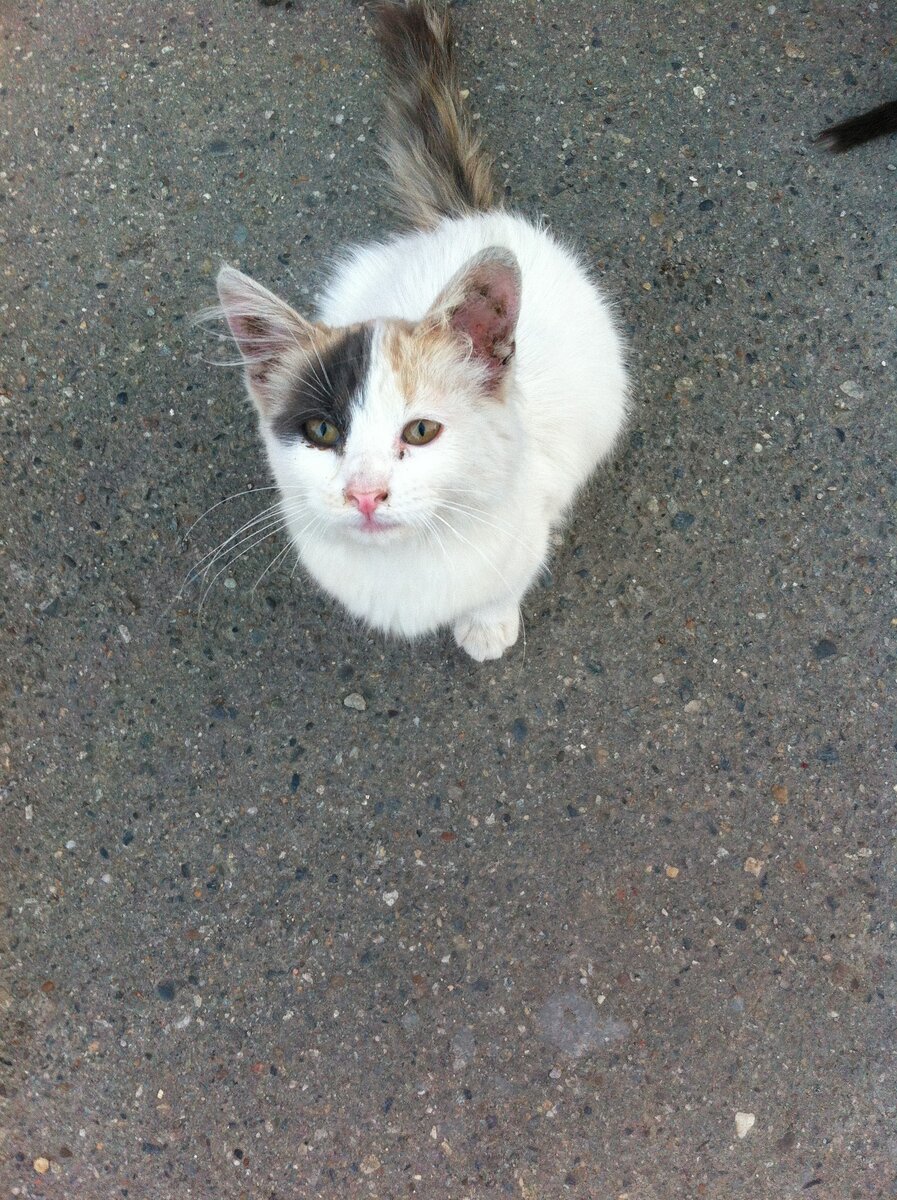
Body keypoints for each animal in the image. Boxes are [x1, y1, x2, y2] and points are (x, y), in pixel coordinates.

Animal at [208, 0, 628, 662]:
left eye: (422, 431)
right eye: (322, 430)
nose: (364, 494)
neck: (406, 563)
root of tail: (465, 218)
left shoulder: (527, 520)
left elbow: (505, 581)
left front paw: (488, 625)